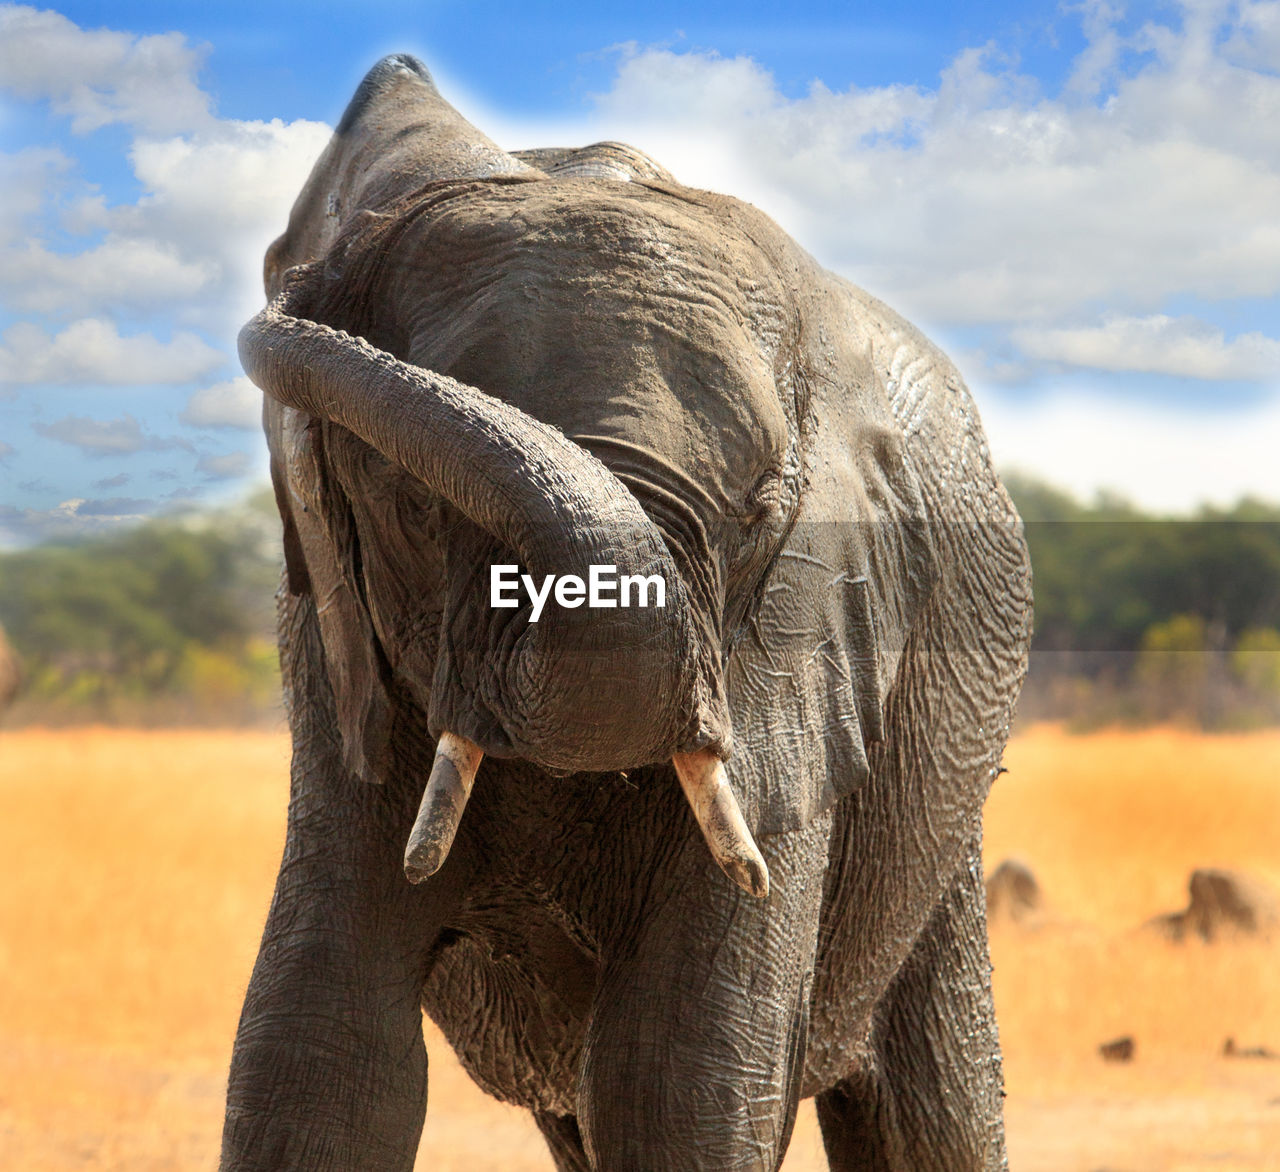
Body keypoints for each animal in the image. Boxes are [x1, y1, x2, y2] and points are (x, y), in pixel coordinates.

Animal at [222, 52, 1029, 1172]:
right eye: (416, 496)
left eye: (764, 505)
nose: (301, 288)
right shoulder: (344, 666)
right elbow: (322, 1042)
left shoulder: (802, 643)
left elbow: (683, 1069)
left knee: (932, 1100)